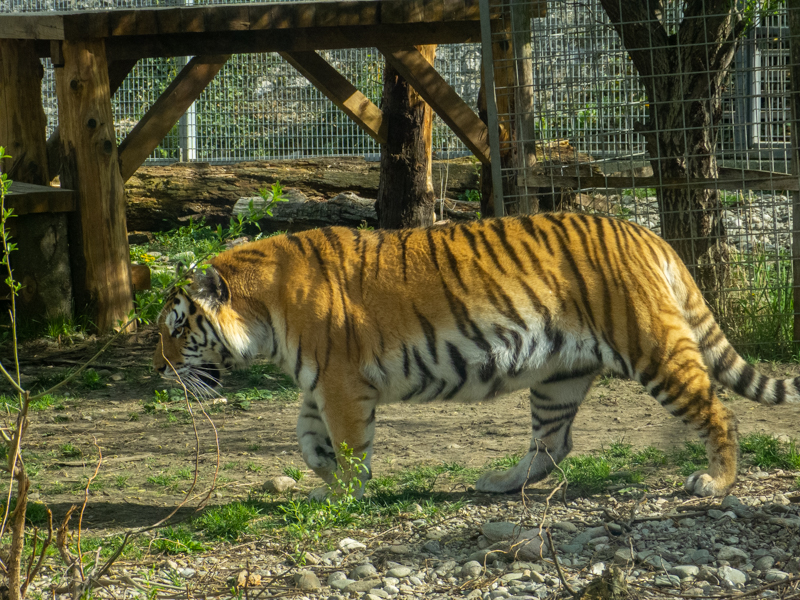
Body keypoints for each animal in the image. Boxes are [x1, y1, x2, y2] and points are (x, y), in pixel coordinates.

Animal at [153, 213, 800, 499]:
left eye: (178, 330)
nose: (159, 370)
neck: (264, 314)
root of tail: (646, 232)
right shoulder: (321, 386)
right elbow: (309, 440)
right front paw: (323, 482)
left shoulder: (341, 383)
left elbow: (348, 445)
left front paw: (346, 499)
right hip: (559, 377)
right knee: (553, 442)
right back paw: (500, 482)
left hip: (654, 350)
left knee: (721, 412)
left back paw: (716, 482)